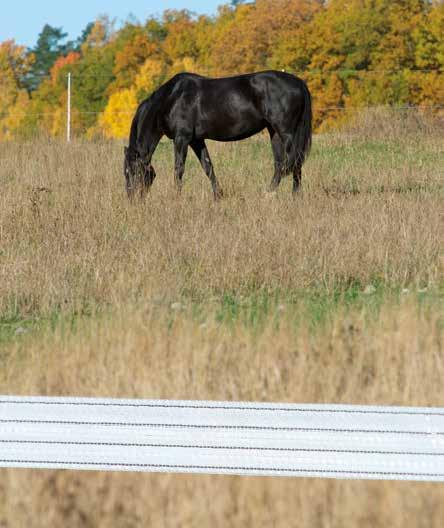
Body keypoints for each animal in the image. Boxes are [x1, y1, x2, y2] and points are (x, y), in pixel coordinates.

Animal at [125, 71, 312, 199]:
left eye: (130, 171)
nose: (132, 199)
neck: (172, 99)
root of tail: (298, 82)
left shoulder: (181, 139)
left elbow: (179, 168)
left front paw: (176, 197)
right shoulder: (196, 140)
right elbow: (208, 166)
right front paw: (218, 195)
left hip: (286, 132)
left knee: (293, 160)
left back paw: (287, 194)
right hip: (274, 133)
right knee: (282, 163)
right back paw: (277, 193)